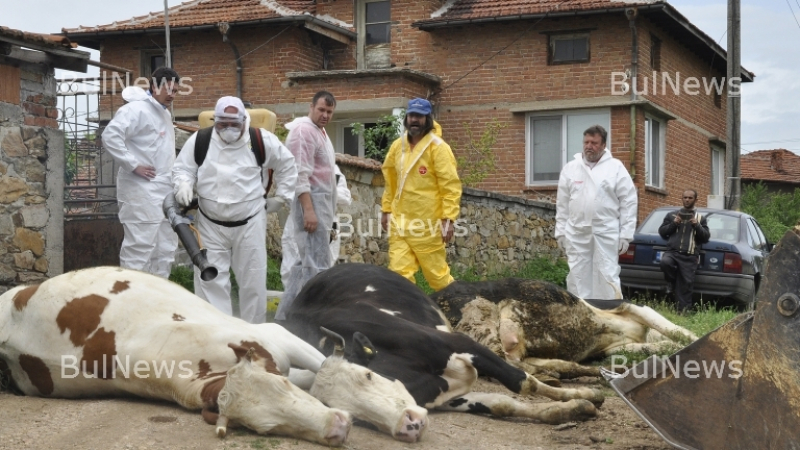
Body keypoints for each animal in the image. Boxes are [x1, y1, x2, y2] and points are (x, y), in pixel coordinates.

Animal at [280, 262, 600, 424]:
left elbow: (522, 383)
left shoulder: (457, 342)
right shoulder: (447, 395)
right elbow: (502, 404)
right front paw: (572, 408)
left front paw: (580, 395)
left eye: (367, 376)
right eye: (352, 414)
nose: (407, 419)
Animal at [432, 278, 700, 376]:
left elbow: (658, 343)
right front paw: (698, 341)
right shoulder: (627, 305)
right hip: (483, 320)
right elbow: (674, 329)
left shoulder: (616, 346)